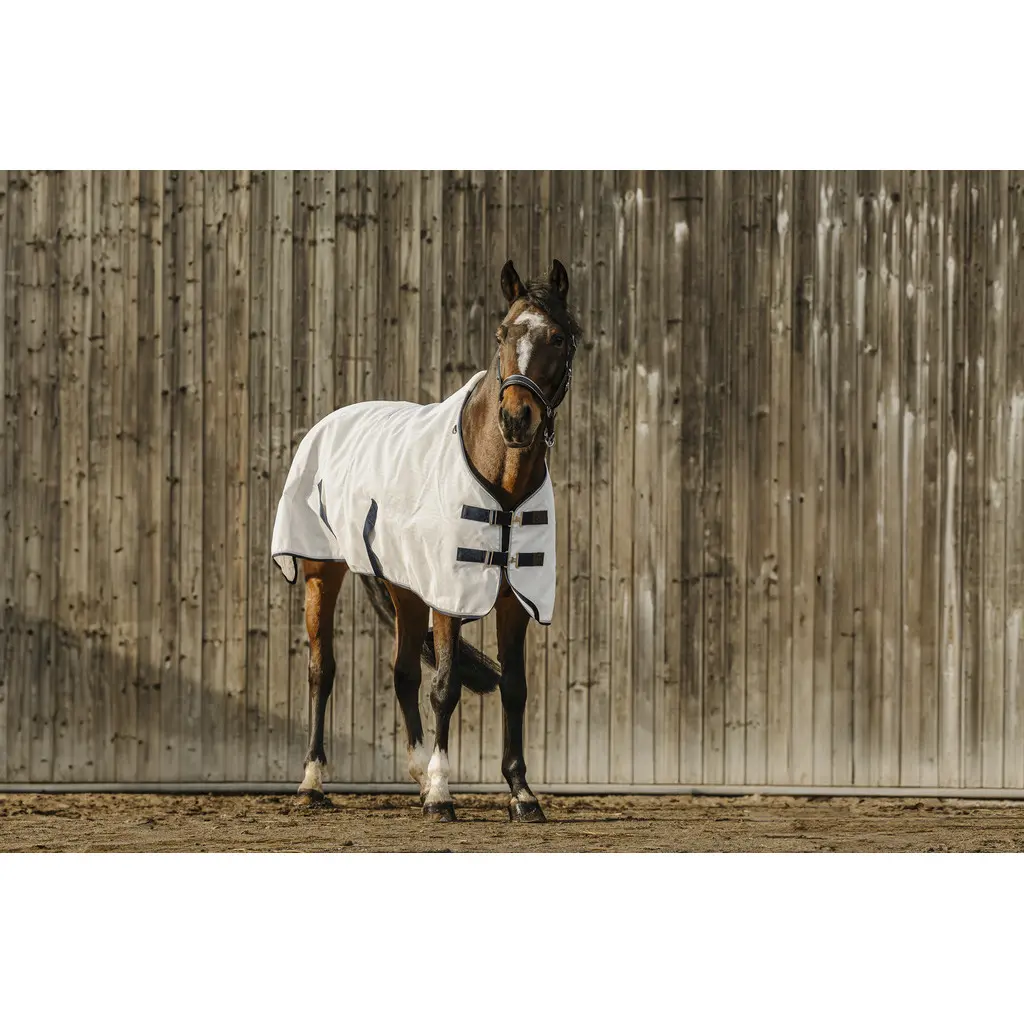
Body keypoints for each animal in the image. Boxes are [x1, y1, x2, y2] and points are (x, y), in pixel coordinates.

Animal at [273, 258, 581, 822]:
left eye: (559, 337)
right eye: (503, 333)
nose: (516, 419)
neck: (502, 484)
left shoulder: (514, 598)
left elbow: (514, 687)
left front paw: (521, 793)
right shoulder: (450, 595)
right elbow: (445, 686)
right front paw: (441, 793)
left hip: (405, 587)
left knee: (401, 674)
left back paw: (414, 774)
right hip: (323, 572)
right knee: (322, 670)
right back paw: (313, 782)